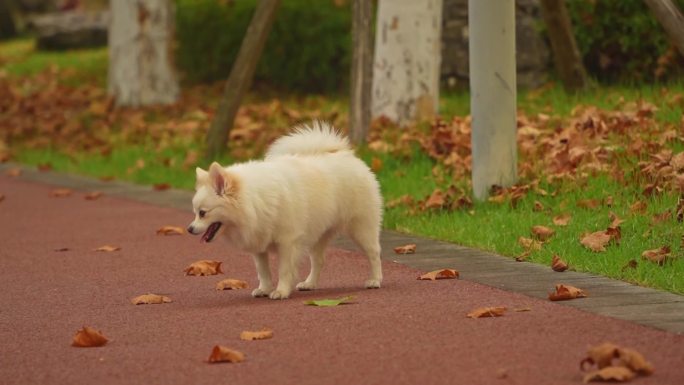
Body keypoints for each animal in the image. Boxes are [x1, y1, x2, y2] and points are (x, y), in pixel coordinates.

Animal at [187, 121, 382, 298]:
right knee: (318, 260)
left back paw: (375, 280)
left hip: (361, 228)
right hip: (319, 233)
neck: (253, 199)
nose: (189, 229)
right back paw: (310, 283)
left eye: (203, 213)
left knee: (373, 252)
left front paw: (281, 291)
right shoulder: (259, 245)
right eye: (195, 213)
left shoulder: (288, 243)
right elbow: (263, 271)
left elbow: (284, 270)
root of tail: (346, 155)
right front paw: (265, 289)